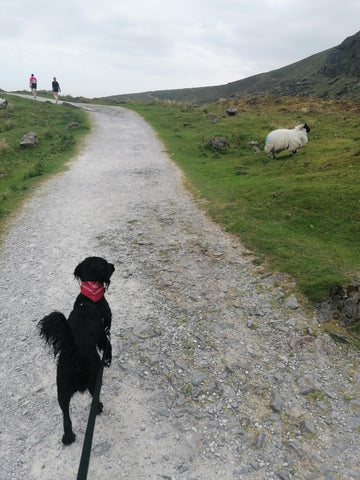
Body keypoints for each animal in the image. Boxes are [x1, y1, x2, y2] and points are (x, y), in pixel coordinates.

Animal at [38, 256, 114, 444]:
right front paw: (108, 361)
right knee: (94, 397)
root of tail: (75, 354)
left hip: (62, 391)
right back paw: (99, 407)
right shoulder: (104, 334)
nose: (114, 266)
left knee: (66, 416)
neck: (89, 300)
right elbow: (109, 346)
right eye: (105, 264)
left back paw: (68, 436)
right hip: (94, 380)